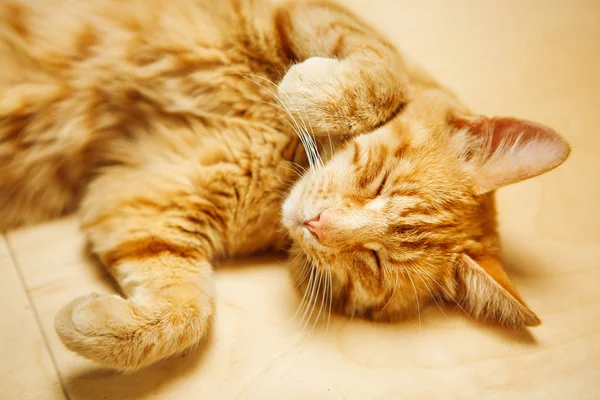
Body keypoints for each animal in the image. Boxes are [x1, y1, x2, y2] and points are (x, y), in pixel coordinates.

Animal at [1, 0, 572, 372]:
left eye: (373, 262)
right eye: (378, 181)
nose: (317, 223)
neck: (288, 154)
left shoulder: (146, 199)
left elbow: (188, 313)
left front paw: (89, 325)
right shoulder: (298, 10)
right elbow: (383, 71)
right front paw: (308, 88)